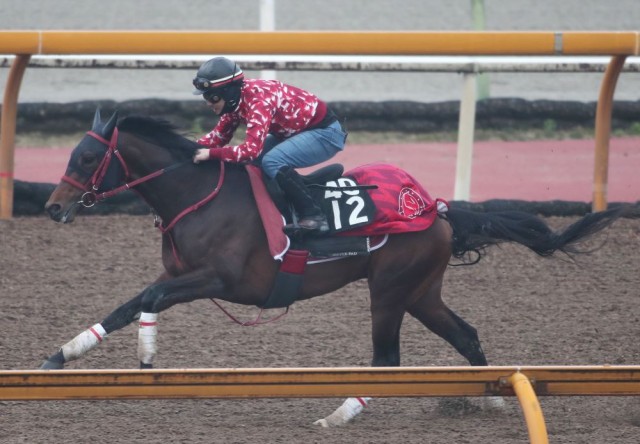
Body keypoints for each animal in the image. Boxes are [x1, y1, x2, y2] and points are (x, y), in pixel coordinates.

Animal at [41, 110, 632, 426]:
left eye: (87, 159)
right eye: (71, 155)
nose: (52, 207)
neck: (199, 195)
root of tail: (434, 205)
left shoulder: (223, 280)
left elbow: (146, 300)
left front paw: (146, 357)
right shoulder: (179, 275)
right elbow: (126, 304)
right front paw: (59, 356)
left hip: (390, 291)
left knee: (387, 358)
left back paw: (340, 414)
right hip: (422, 292)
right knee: (465, 334)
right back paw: (484, 396)